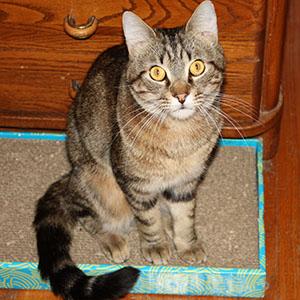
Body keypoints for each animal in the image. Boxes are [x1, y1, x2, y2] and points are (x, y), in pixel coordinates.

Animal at [33, 1, 225, 298]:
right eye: (157, 72)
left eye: (197, 66)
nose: (181, 95)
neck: (179, 136)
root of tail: (70, 175)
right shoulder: (133, 182)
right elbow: (147, 218)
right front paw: (156, 245)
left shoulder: (185, 182)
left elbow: (185, 215)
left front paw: (186, 243)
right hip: (96, 179)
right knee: (86, 214)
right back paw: (114, 239)